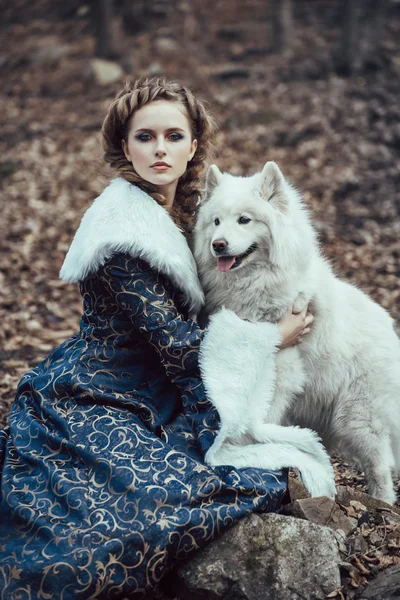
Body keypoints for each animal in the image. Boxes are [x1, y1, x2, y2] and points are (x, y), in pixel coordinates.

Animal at [194, 162, 400, 504]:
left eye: (244, 220)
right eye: (216, 221)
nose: (218, 245)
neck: (257, 285)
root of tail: (391, 329)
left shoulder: (282, 371)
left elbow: (261, 418)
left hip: (357, 419)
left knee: (380, 466)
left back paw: (381, 503)